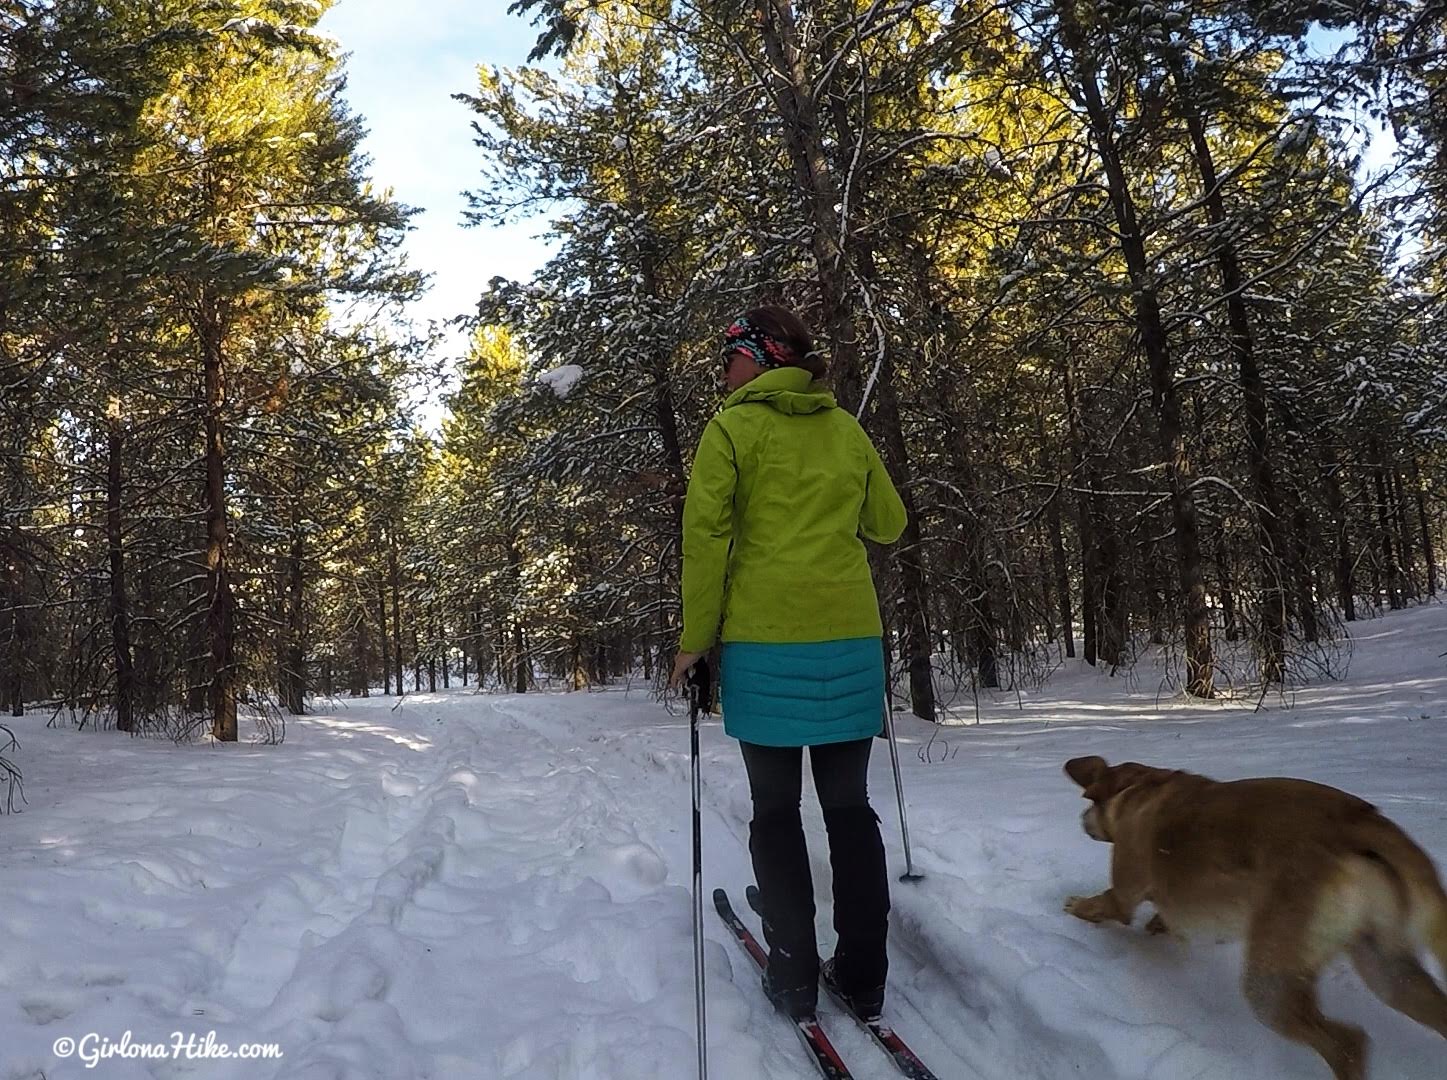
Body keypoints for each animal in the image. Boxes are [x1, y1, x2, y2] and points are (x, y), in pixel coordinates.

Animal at [1064, 758, 1447, 1077]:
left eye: (1089, 805)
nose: (1081, 820)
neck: (1138, 788)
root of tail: (1361, 823)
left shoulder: (1123, 894)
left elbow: (1104, 905)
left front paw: (1074, 906)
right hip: (1388, 969)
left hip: (1269, 986)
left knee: (1347, 1045)